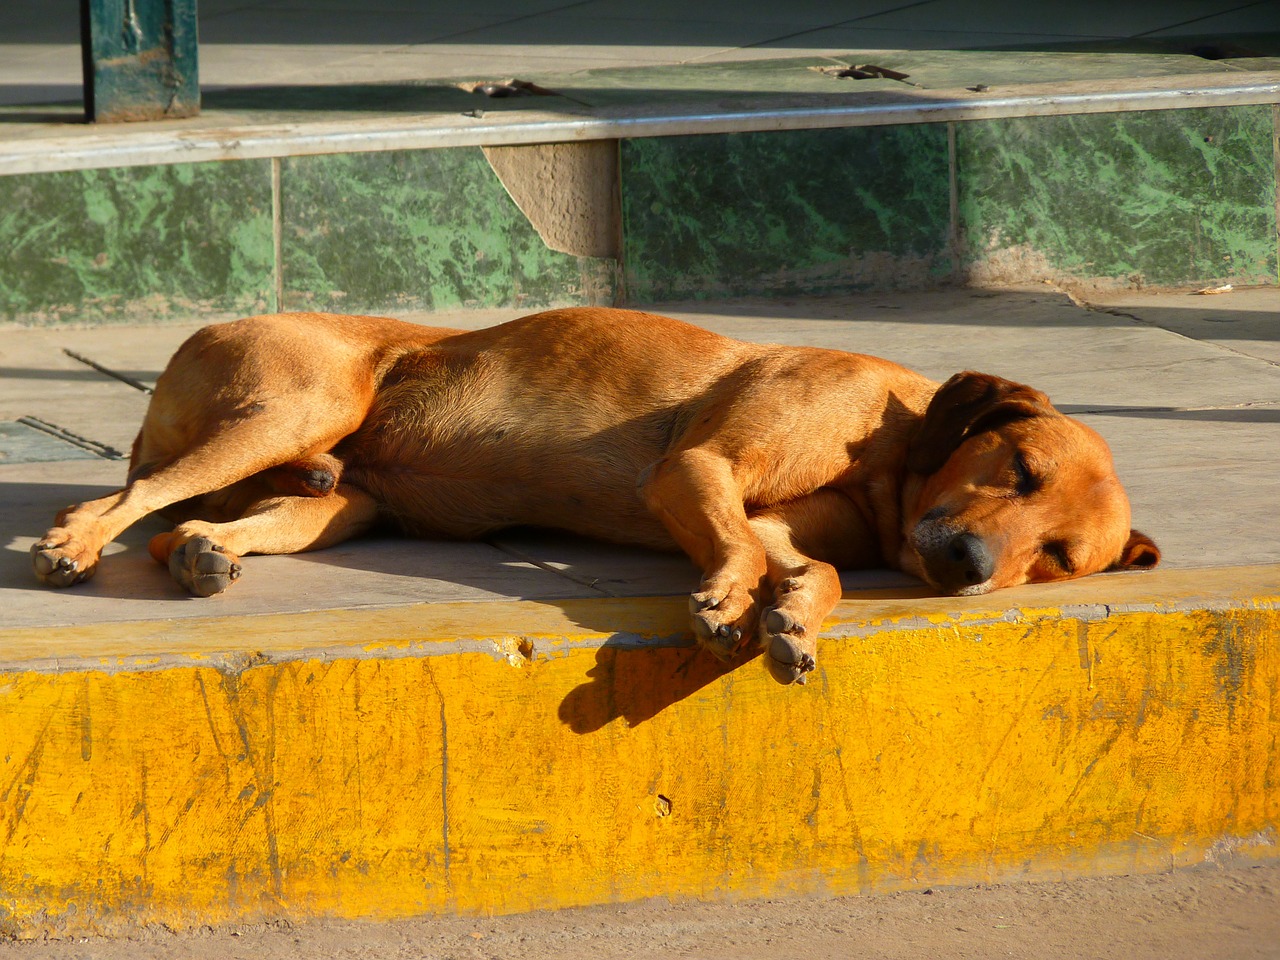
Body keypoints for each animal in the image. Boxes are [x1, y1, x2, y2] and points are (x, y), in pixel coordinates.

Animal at [30, 308, 1157, 686]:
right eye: (1018, 469)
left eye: (1057, 559)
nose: (966, 570)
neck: (896, 441)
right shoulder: (695, 472)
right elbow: (734, 546)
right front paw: (726, 600)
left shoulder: (782, 519)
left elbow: (815, 568)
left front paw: (794, 616)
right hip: (292, 407)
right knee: (128, 499)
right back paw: (74, 546)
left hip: (340, 499)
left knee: (197, 525)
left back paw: (205, 552)